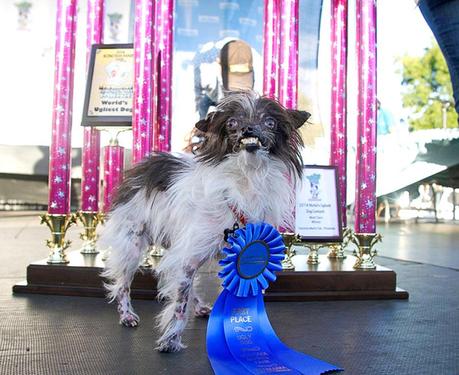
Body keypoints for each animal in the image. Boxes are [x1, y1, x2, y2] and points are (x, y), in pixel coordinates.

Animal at [102, 90, 310, 352]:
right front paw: (171, 339)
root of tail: (141, 168)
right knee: (122, 284)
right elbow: (179, 304)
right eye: (232, 123)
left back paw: (200, 307)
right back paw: (127, 314)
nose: (248, 129)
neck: (246, 178)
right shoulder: (187, 257)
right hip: (132, 245)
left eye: (270, 122)